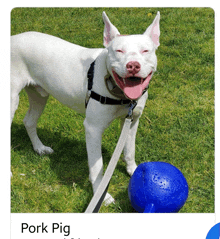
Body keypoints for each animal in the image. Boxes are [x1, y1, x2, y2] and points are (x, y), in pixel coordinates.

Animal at [10, 11, 160, 205]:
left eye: (145, 51)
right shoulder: (93, 129)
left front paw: (134, 171)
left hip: (39, 95)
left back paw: (39, 148)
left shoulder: (132, 120)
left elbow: (129, 149)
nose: (133, 65)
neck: (119, 93)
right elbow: (98, 167)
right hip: (10, 100)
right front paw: (101, 196)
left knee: (29, 120)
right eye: (118, 51)